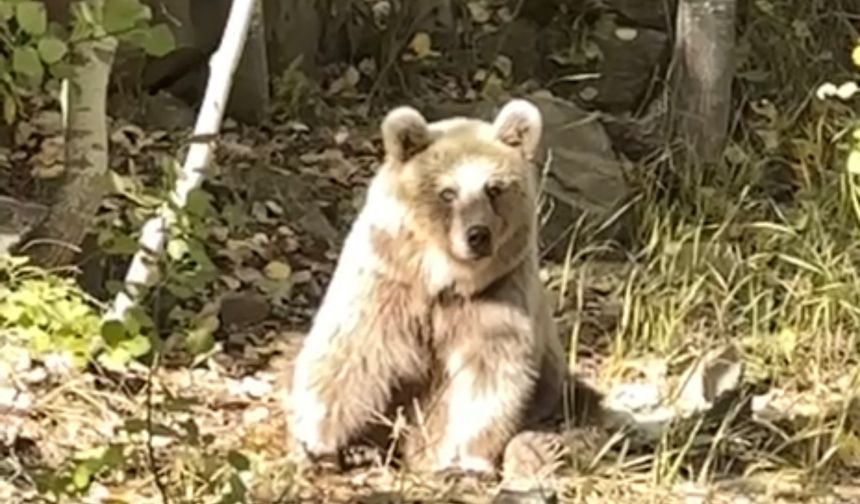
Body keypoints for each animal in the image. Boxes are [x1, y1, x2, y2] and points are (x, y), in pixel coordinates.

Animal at [286, 97, 576, 488]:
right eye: (448, 192)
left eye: (494, 188)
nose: (478, 235)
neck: (444, 278)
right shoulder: (387, 283)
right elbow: (349, 356)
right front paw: (316, 445)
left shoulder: (498, 297)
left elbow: (487, 378)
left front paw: (464, 461)